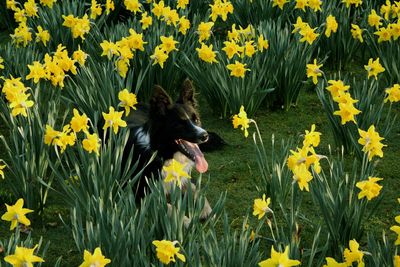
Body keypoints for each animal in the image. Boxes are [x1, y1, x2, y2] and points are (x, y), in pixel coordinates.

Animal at [124, 78, 212, 223]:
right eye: (180, 124)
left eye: (196, 120)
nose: (205, 136)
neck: (163, 154)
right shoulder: (144, 194)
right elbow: (171, 209)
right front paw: (187, 222)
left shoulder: (184, 177)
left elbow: (197, 190)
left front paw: (206, 210)